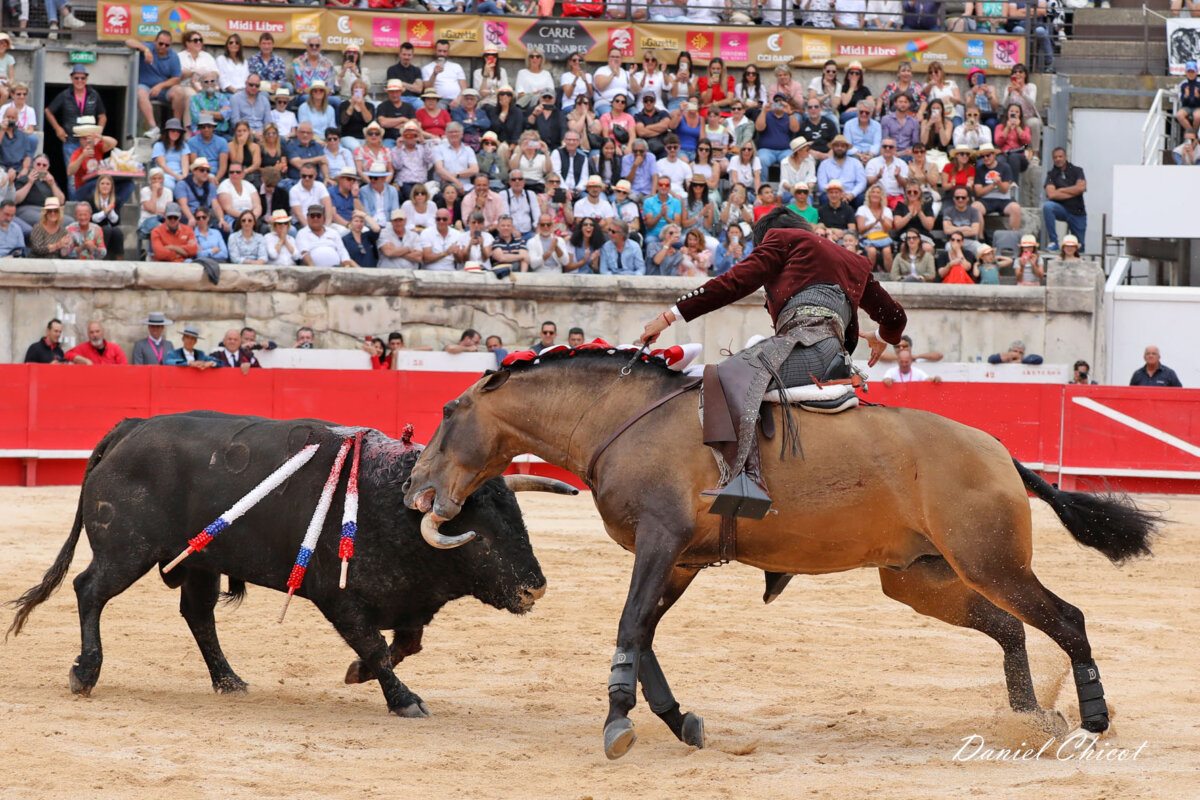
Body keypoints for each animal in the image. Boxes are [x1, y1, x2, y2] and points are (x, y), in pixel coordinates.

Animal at [6, 411, 576, 717]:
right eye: (482, 539)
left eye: (519, 522)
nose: (535, 588)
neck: (390, 501)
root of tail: (133, 427)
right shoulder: (338, 597)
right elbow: (376, 645)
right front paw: (403, 699)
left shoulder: (406, 601)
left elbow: (404, 643)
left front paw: (357, 674)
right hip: (127, 551)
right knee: (89, 590)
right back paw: (85, 673)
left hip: (200, 560)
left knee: (197, 615)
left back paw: (229, 680)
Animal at [403, 347, 1159, 760]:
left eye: (446, 411)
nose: (416, 490)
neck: (622, 420)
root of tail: (998, 450)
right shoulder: (678, 559)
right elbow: (642, 635)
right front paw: (679, 720)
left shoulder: (660, 543)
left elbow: (628, 626)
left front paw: (618, 721)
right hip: (921, 579)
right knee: (1010, 628)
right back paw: (1030, 719)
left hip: (992, 563)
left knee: (1066, 618)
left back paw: (1091, 722)